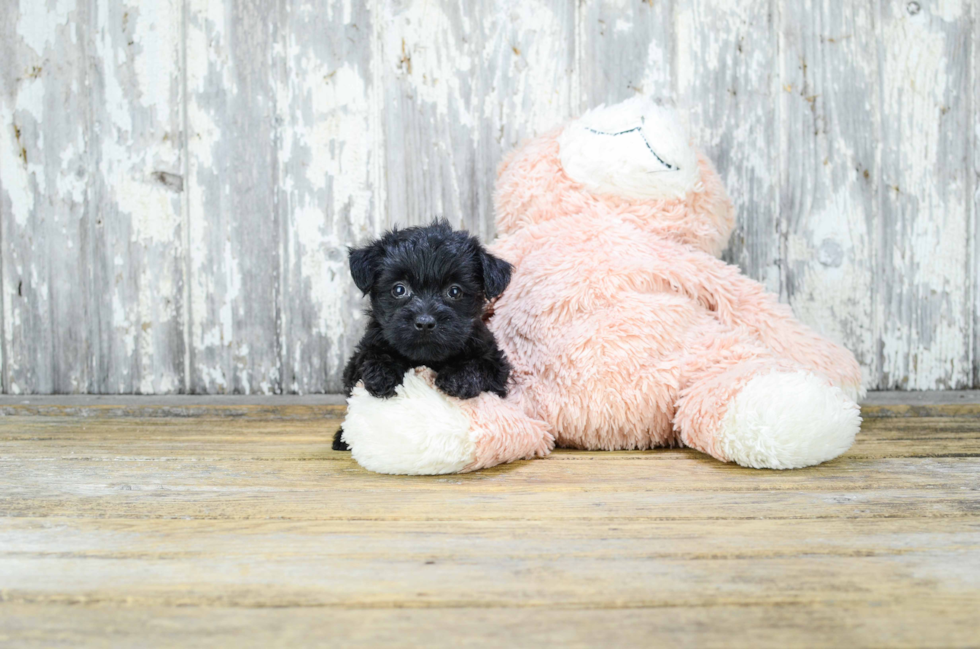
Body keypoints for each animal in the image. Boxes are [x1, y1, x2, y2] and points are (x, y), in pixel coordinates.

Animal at [334, 220, 512, 448]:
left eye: (454, 291)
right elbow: (373, 354)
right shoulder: (362, 355)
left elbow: (481, 364)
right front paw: (382, 374)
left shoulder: (496, 363)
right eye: (399, 289)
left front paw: (460, 378)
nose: (425, 322)